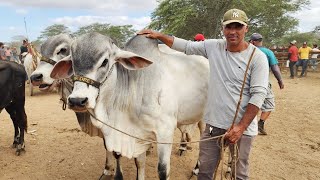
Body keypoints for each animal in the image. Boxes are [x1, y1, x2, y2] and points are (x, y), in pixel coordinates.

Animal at [51, 32, 209, 180]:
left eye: (105, 62)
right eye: (72, 62)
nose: (77, 101)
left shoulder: (165, 132)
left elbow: (163, 171)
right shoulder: (137, 135)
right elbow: (139, 163)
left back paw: (196, 169)